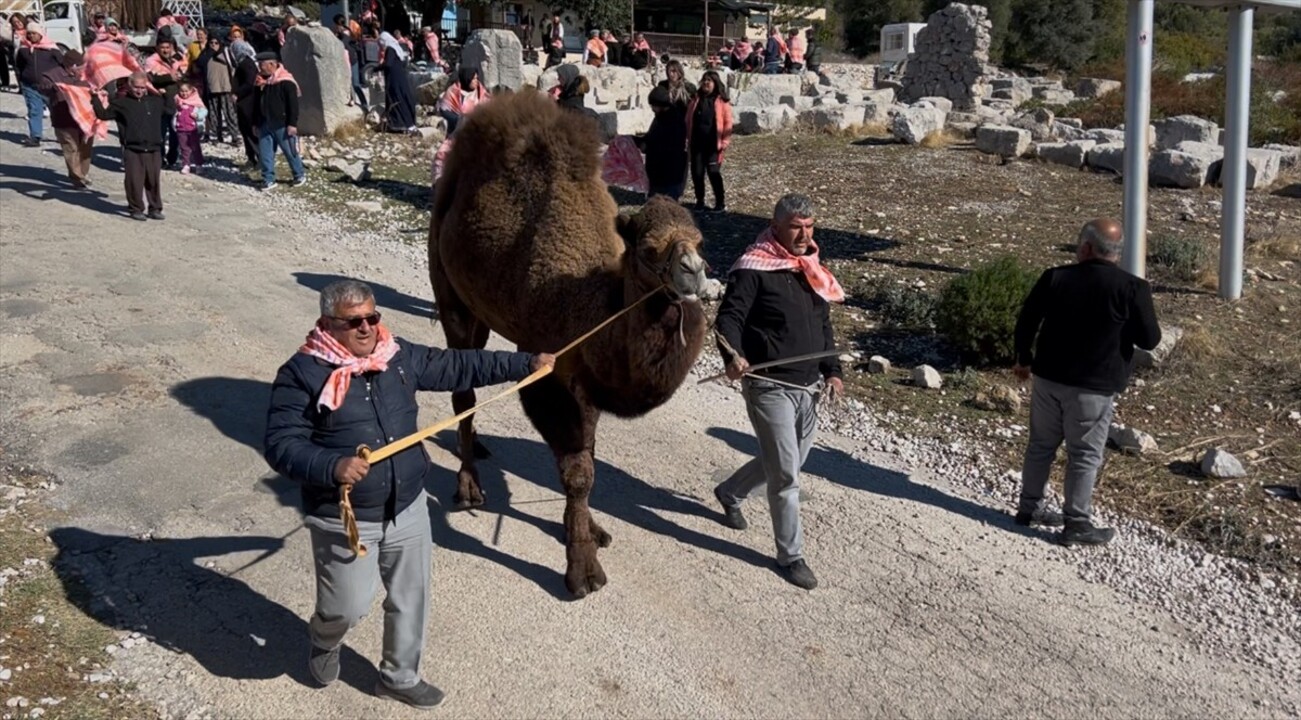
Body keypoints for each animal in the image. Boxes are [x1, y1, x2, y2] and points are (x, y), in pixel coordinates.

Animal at [426, 88, 712, 596]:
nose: (693, 272)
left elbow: (591, 453)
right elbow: (578, 471)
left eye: (699, 241)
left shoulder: (586, 378)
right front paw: (582, 569)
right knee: (463, 389)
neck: (591, 306)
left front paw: (590, 531)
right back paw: (468, 487)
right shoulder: (550, 372)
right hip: (451, 295)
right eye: (648, 249)